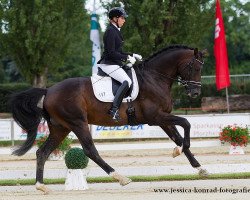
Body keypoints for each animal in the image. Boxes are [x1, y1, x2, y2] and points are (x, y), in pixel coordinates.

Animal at [10, 44, 207, 193]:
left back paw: (41, 186)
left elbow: (178, 137)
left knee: (42, 152)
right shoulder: (156, 117)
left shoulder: (162, 118)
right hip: (78, 123)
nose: (195, 93)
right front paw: (179, 151)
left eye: (200, 68)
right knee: (90, 151)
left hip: (61, 128)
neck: (154, 77)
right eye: (194, 67)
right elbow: (186, 124)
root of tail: (48, 91)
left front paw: (200, 168)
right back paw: (120, 177)